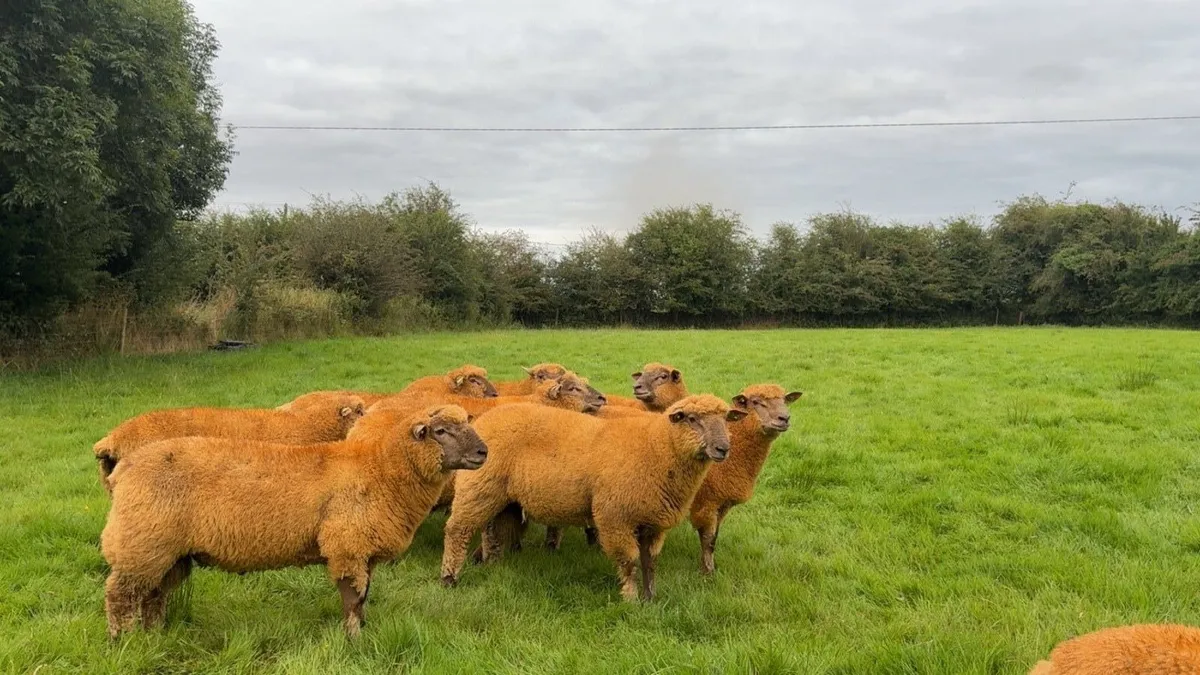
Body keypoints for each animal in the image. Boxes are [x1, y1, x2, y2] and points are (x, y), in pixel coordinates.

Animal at [100, 404, 486, 639]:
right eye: (440, 431)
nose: (484, 452)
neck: (379, 472)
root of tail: (123, 468)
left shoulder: (364, 551)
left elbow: (364, 597)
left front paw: (363, 629)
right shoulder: (346, 546)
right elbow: (352, 598)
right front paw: (354, 640)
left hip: (168, 553)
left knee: (153, 596)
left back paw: (155, 635)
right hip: (141, 543)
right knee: (120, 596)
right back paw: (123, 641)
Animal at [440, 394, 747, 601]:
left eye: (725, 419)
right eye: (693, 419)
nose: (723, 448)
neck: (655, 450)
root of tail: (485, 419)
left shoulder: (654, 522)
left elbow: (650, 561)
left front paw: (651, 597)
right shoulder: (615, 517)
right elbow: (629, 561)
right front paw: (631, 599)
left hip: (502, 497)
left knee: (492, 531)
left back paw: (492, 565)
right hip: (478, 486)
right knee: (457, 530)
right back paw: (449, 578)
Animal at [689, 384, 802, 575]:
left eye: (785, 400)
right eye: (755, 402)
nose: (784, 418)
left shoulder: (722, 503)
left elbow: (713, 538)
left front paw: (707, 566)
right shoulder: (707, 502)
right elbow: (708, 539)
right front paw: (708, 572)